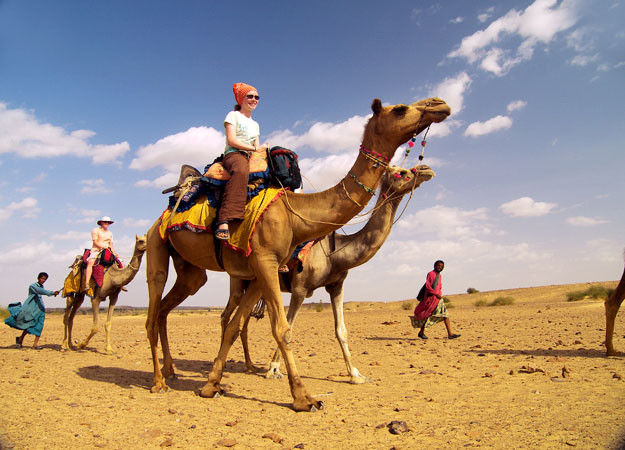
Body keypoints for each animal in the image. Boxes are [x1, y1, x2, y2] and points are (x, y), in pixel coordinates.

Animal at [223, 163, 434, 382]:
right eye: (401, 172)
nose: (426, 170)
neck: (335, 254)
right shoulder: (300, 288)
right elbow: (289, 325)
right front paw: (273, 369)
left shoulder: (336, 286)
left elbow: (341, 330)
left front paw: (355, 374)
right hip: (238, 279)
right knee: (227, 315)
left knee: (243, 321)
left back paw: (249, 365)